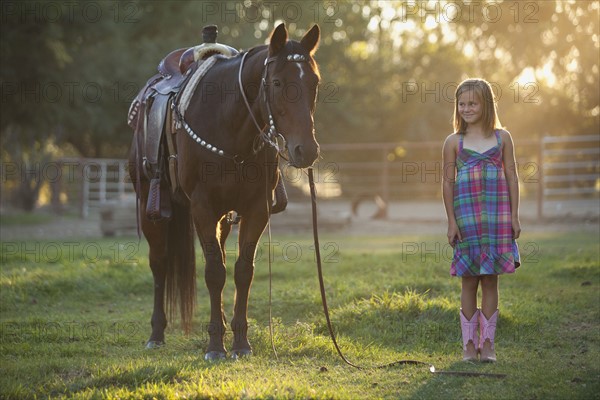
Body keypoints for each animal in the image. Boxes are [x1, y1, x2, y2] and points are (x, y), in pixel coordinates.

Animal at [129, 23, 322, 360]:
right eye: (276, 81)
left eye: (314, 82)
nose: (306, 150)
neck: (229, 125)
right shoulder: (202, 208)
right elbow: (214, 272)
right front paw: (215, 347)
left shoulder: (256, 210)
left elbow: (242, 271)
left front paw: (241, 343)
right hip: (152, 209)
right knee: (160, 263)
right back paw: (156, 334)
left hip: (222, 218)